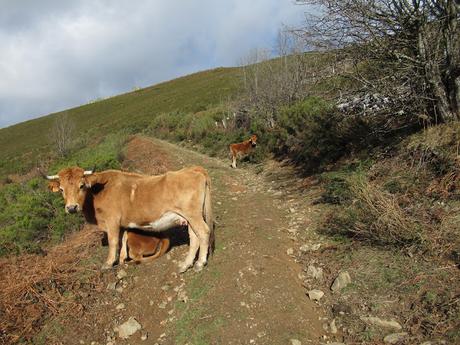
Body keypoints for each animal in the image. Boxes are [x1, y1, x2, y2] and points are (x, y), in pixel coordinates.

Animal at [46, 165, 212, 272]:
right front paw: (121, 260)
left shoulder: (112, 220)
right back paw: (186, 264)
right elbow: (123, 239)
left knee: (203, 232)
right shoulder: (122, 224)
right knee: (194, 237)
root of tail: (192, 169)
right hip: (189, 218)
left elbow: (113, 241)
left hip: (193, 215)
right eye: (62, 189)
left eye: (81, 186)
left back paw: (200, 263)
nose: (71, 208)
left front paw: (108, 263)